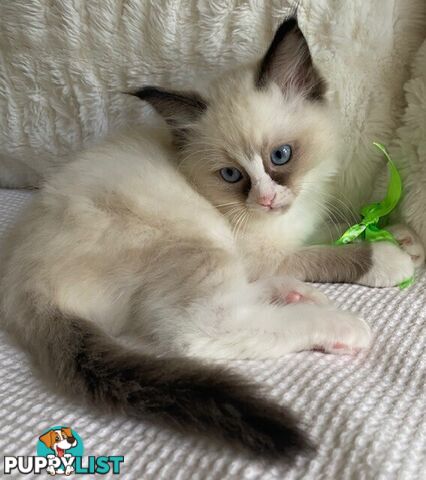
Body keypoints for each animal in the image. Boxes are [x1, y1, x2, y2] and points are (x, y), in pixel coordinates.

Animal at [0, 15, 422, 458]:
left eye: (281, 156)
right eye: (232, 175)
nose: (266, 200)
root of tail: (20, 290)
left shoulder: (296, 223)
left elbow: (330, 232)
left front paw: (399, 236)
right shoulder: (262, 251)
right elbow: (327, 255)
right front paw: (388, 257)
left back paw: (292, 294)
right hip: (197, 241)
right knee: (204, 329)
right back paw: (339, 326)